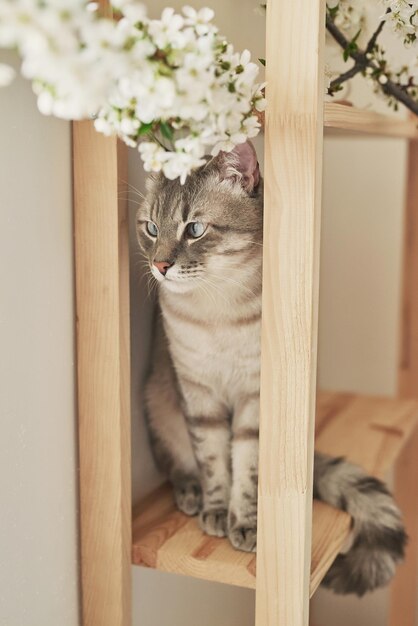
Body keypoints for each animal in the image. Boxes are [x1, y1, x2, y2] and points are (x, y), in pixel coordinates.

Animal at [137, 141, 404, 596]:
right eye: (152, 228)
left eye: (195, 229)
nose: (160, 266)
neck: (216, 311)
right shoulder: (199, 393)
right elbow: (212, 460)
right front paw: (215, 509)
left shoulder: (254, 398)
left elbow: (245, 468)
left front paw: (244, 523)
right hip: (159, 401)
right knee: (178, 463)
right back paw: (190, 494)